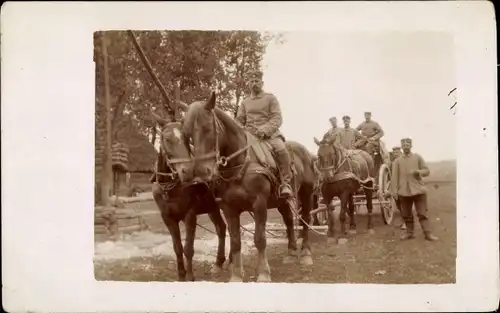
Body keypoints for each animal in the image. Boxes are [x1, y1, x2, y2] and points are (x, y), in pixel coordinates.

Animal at [148, 109, 227, 280]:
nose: (188, 171)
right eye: (166, 139)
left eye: (187, 139)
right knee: (221, 228)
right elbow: (177, 247)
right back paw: (220, 261)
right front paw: (181, 274)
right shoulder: (168, 218)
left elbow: (188, 248)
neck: (170, 189)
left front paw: (190, 276)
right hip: (213, 208)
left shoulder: (190, 215)